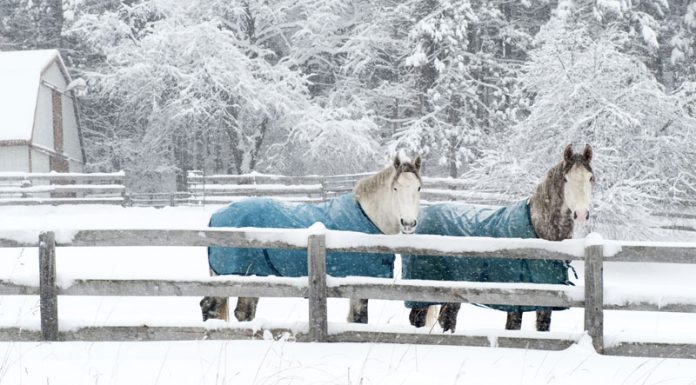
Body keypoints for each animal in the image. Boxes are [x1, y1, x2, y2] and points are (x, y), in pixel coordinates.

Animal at [198, 154, 422, 322]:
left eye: (418, 188)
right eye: (395, 188)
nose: (408, 223)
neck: (366, 217)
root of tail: (216, 215)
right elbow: (359, 320)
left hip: (252, 275)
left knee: (242, 312)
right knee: (211, 308)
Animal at [406, 143, 596, 330]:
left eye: (590, 178)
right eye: (566, 179)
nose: (581, 214)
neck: (538, 231)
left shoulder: (548, 301)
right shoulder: (516, 302)